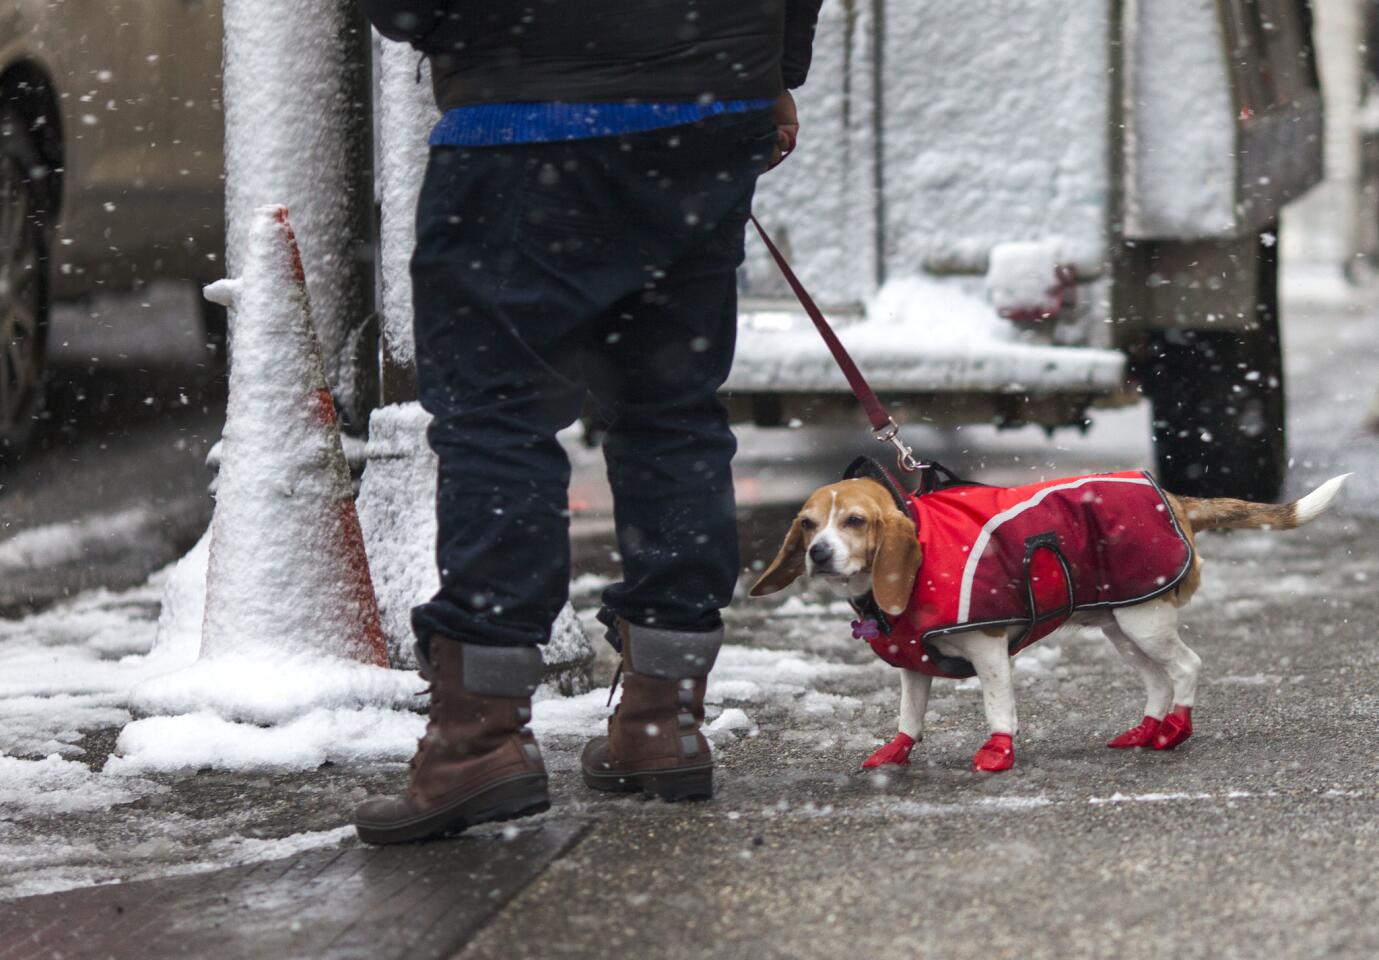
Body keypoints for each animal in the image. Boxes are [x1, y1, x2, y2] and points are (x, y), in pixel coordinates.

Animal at [755, 471, 1345, 772]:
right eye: (807, 524)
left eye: (855, 521)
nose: (819, 554)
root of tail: (1173, 497)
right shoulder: (914, 667)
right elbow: (910, 716)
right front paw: (896, 752)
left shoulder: (990, 651)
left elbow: (998, 708)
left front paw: (998, 752)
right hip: (1121, 627)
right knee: (1157, 680)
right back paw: (1146, 729)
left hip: (1146, 621)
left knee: (1186, 668)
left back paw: (1175, 730)